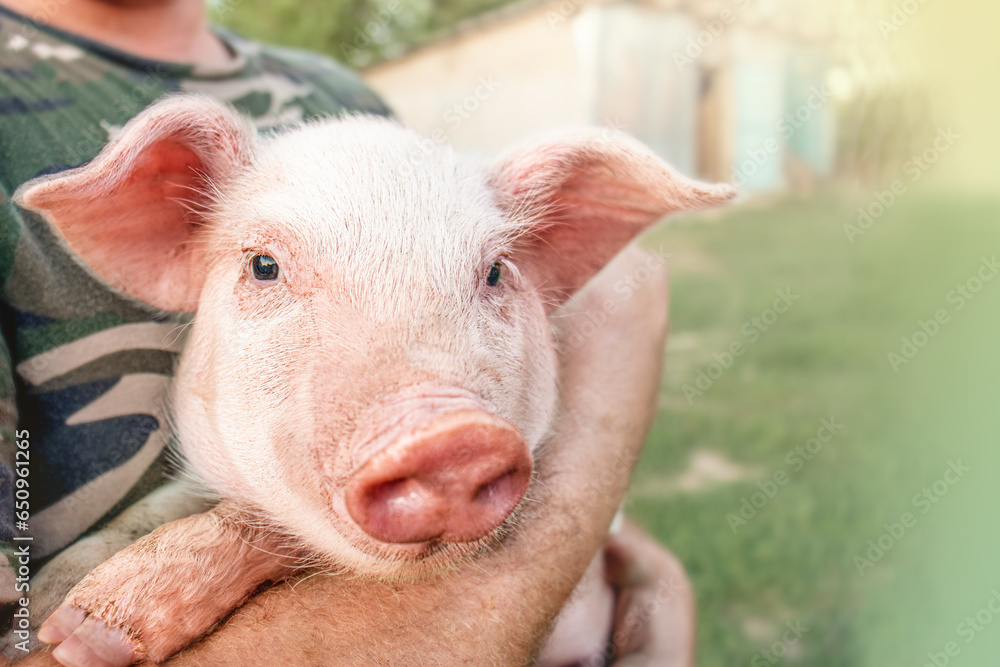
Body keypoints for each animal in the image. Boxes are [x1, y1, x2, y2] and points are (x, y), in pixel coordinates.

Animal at [12, 95, 733, 666]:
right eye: (264, 265)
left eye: (496, 271)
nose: (446, 432)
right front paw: (45, 608)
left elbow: (267, 524)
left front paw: (81, 635)